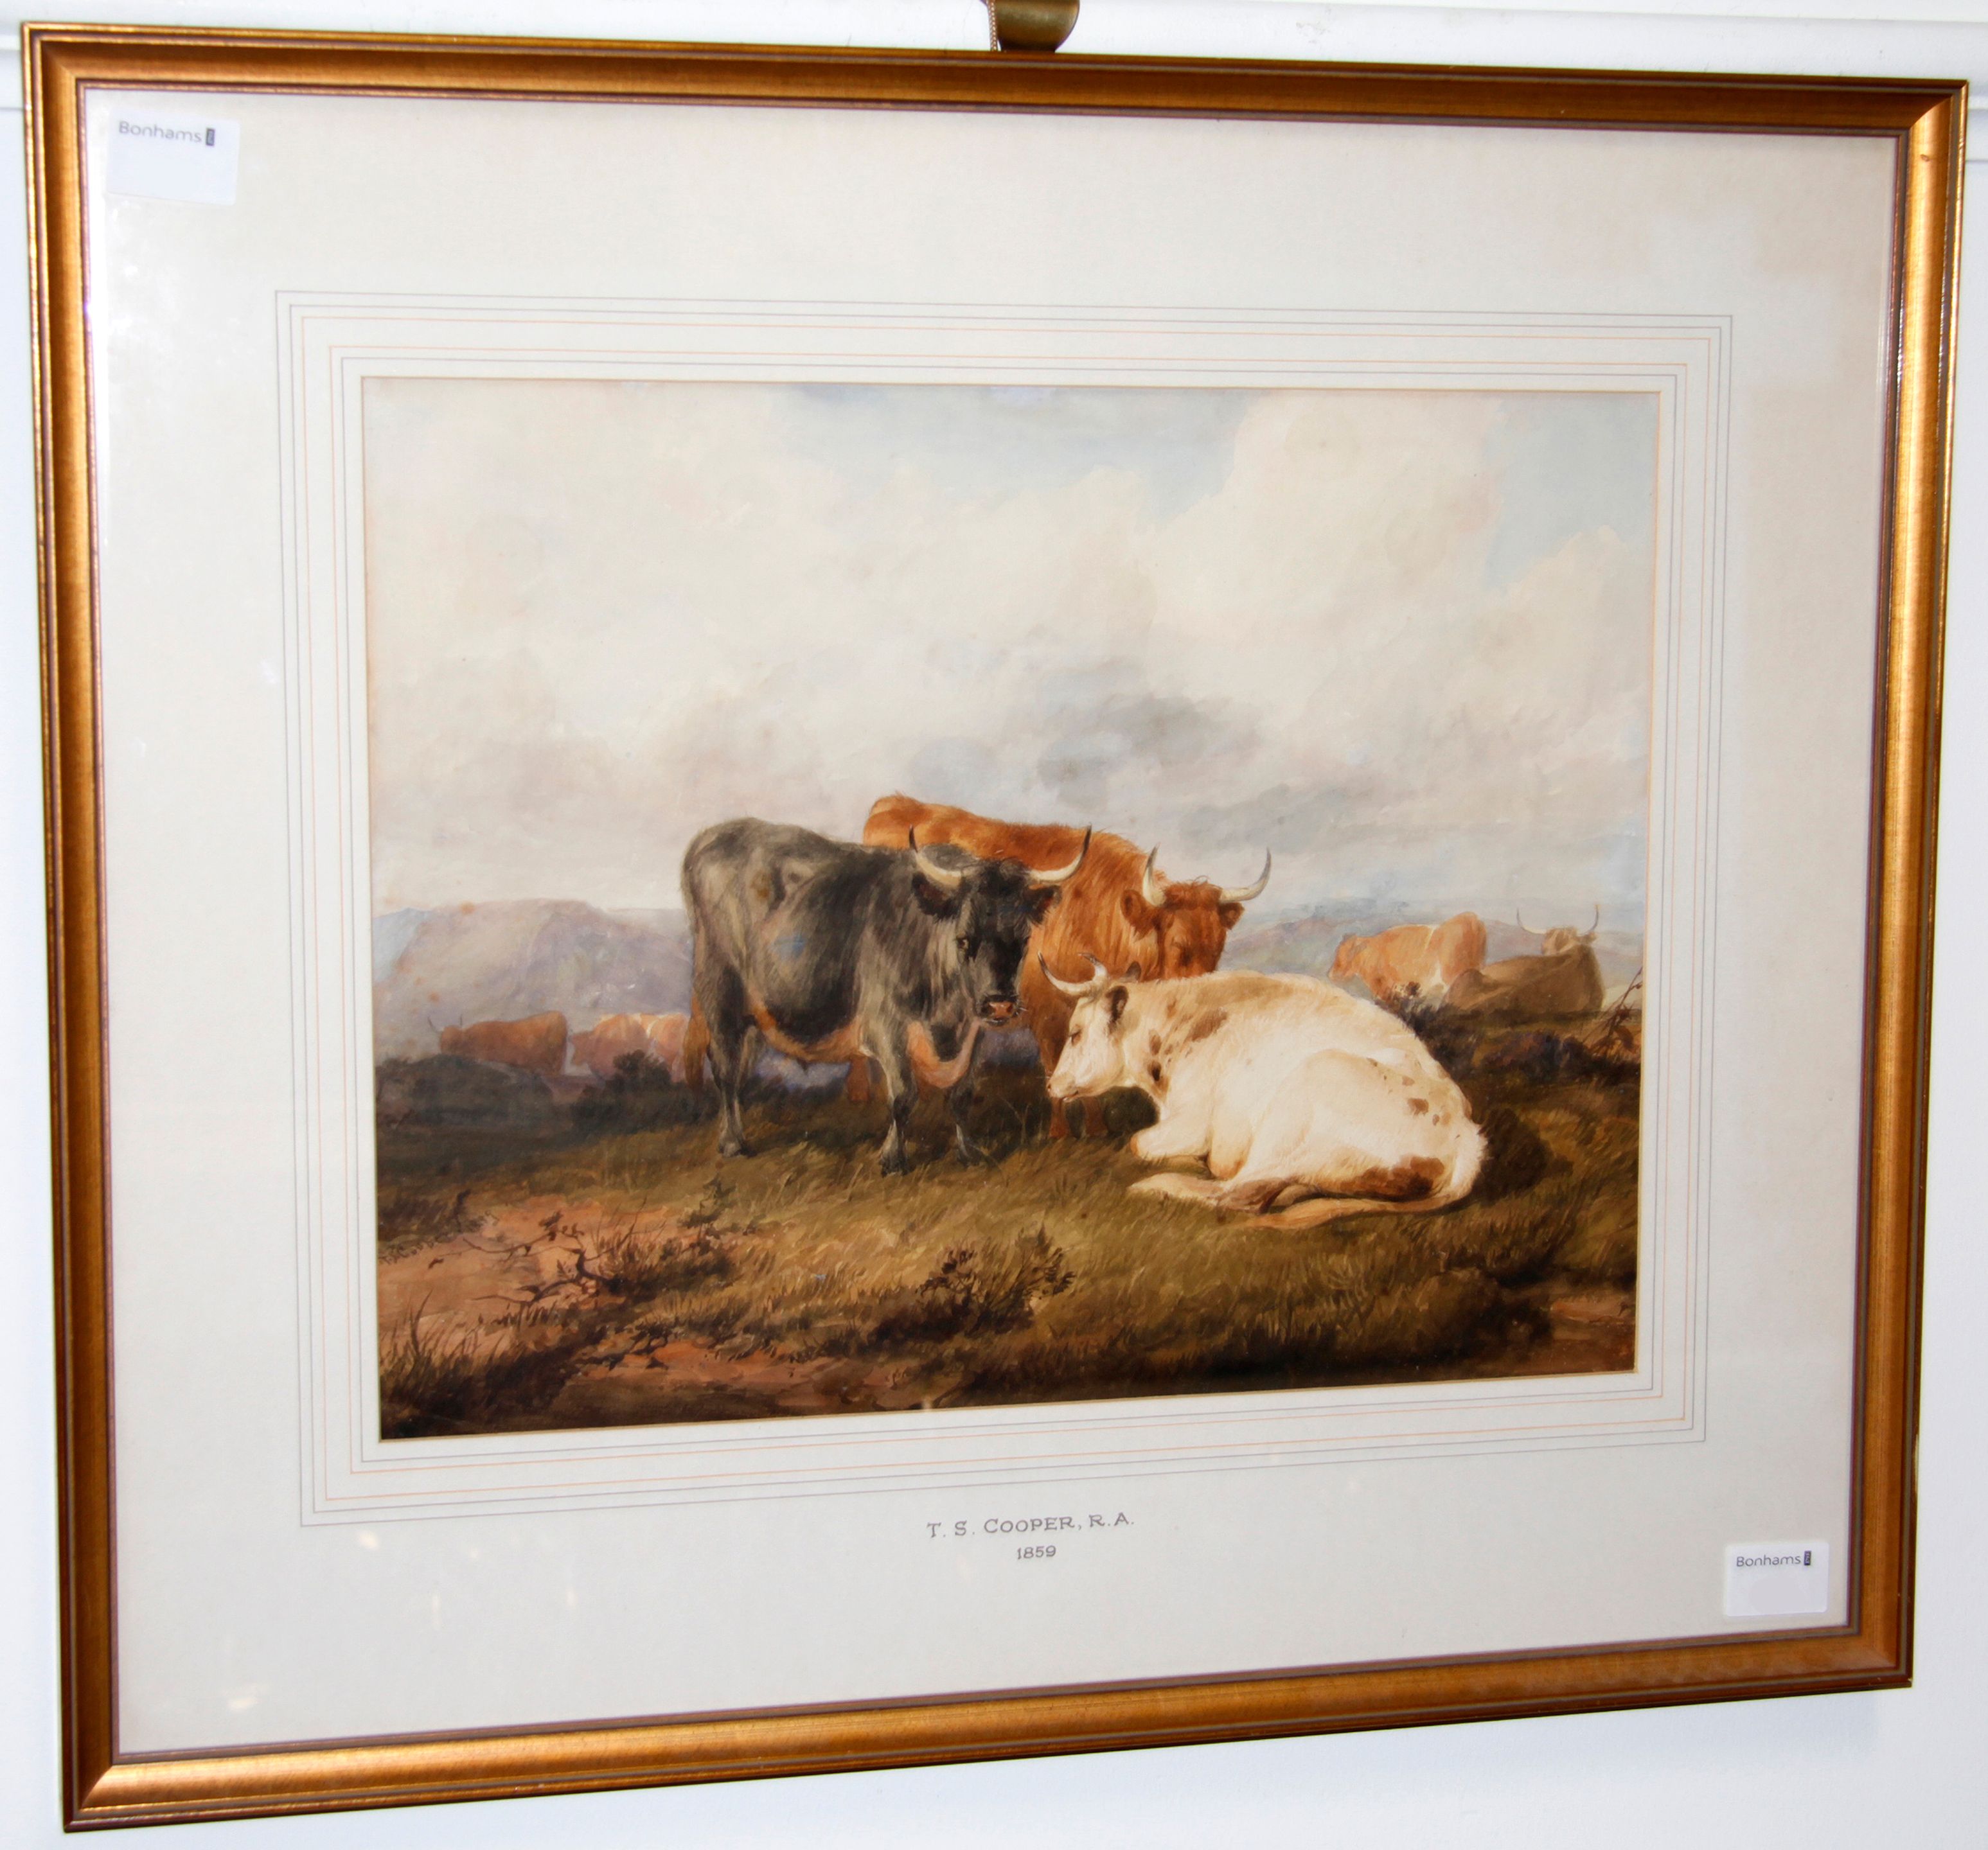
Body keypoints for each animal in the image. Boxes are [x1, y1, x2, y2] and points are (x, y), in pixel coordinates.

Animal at [680, 818, 1087, 1173]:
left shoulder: (975, 1033)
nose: (1000, 1003)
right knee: (726, 1068)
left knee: (740, 1069)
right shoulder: (887, 1026)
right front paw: (893, 1159)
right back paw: (732, 1143)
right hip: (719, 994)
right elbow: (903, 1095)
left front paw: (969, 1152)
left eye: (1021, 941)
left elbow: (961, 1094)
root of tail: (716, 835)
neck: (946, 1018)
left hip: (755, 1015)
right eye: (964, 939)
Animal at [861, 795, 1269, 1137]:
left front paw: (1098, 1129)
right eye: (1178, 946)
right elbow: (1054, 1064)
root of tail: (893, 803)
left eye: (1218, 947)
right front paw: (1062, 1132)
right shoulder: (1046, 1012)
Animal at [1040, 962, 1484, 1228]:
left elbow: (1138, 1143)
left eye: (1075, 1032)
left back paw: (1158, 1186)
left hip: (1307, 1091)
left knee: (1237, 1193)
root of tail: (1466, 1134)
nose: (1050, 1085)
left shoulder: (1194, 1123)